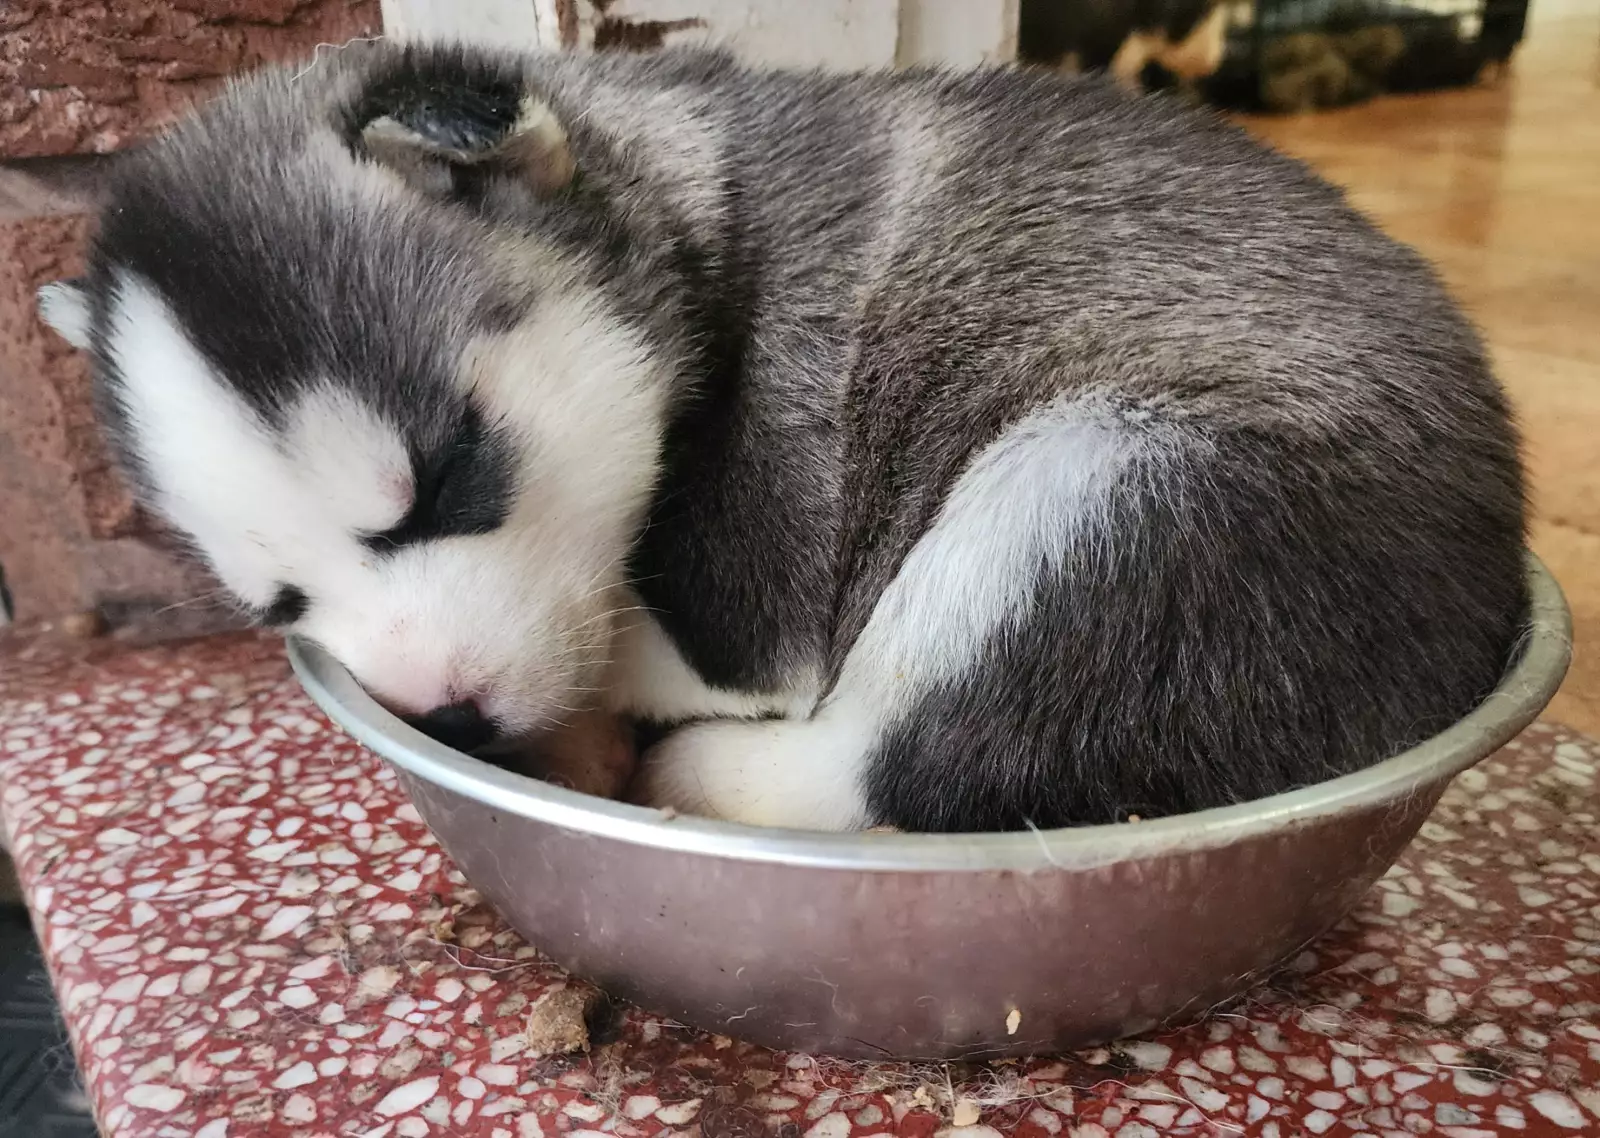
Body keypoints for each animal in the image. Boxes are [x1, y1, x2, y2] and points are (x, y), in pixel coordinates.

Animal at [37, 42, 1528, 833]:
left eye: (450, 481)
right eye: (279, 604)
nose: (444, 714)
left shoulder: (764, 583)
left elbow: (677, 653)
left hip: (1111, 487)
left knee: (895, 760)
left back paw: (701, 774)